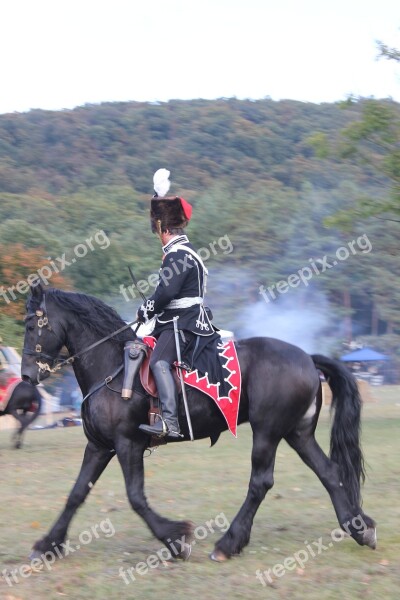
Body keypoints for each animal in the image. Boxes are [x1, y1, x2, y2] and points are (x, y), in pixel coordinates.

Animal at [20, 284, 376, 560]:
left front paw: (175, 538)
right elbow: (77, 493)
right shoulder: (99, 446)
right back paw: (358, 528)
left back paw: (229, 543)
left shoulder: (127, 444)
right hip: (297, 433)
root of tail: (307, 358)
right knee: (329, 473)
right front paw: (48, 545)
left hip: (267, 432)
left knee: (261, 482)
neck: (112, 367)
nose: (26, 376)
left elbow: (136, 497)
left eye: (31, 325)